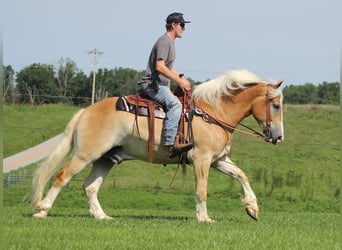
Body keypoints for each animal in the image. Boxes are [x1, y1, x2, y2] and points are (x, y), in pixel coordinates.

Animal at [29, 69, 284, 223]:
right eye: (276, 105)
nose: (279, 137)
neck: (213, 113)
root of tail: (86, 111)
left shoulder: (218, 160)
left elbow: (242, 175)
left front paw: (252, 208)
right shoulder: (201, 160)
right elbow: (201, 190)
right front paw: (204, 218)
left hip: (105, 159)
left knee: (90, 187)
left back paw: (102, 216)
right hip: (86, 155)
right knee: (62, 176)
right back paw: (42, 210)